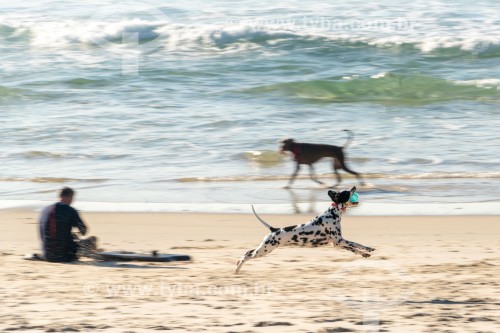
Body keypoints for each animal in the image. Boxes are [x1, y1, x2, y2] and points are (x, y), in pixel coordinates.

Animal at [235, 185, 376, 274]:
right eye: (347, 193)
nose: (354, 187)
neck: (333, 213)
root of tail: (274, 230)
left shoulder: (337, 243)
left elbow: (355, 249)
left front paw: (365, 253)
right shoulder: (340, 241)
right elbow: (357, 244)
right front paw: (368, 248)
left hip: (263, 248)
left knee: (247, 252)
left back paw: (237, 266)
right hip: (264, 250)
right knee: (246, 256)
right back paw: (237, 269)